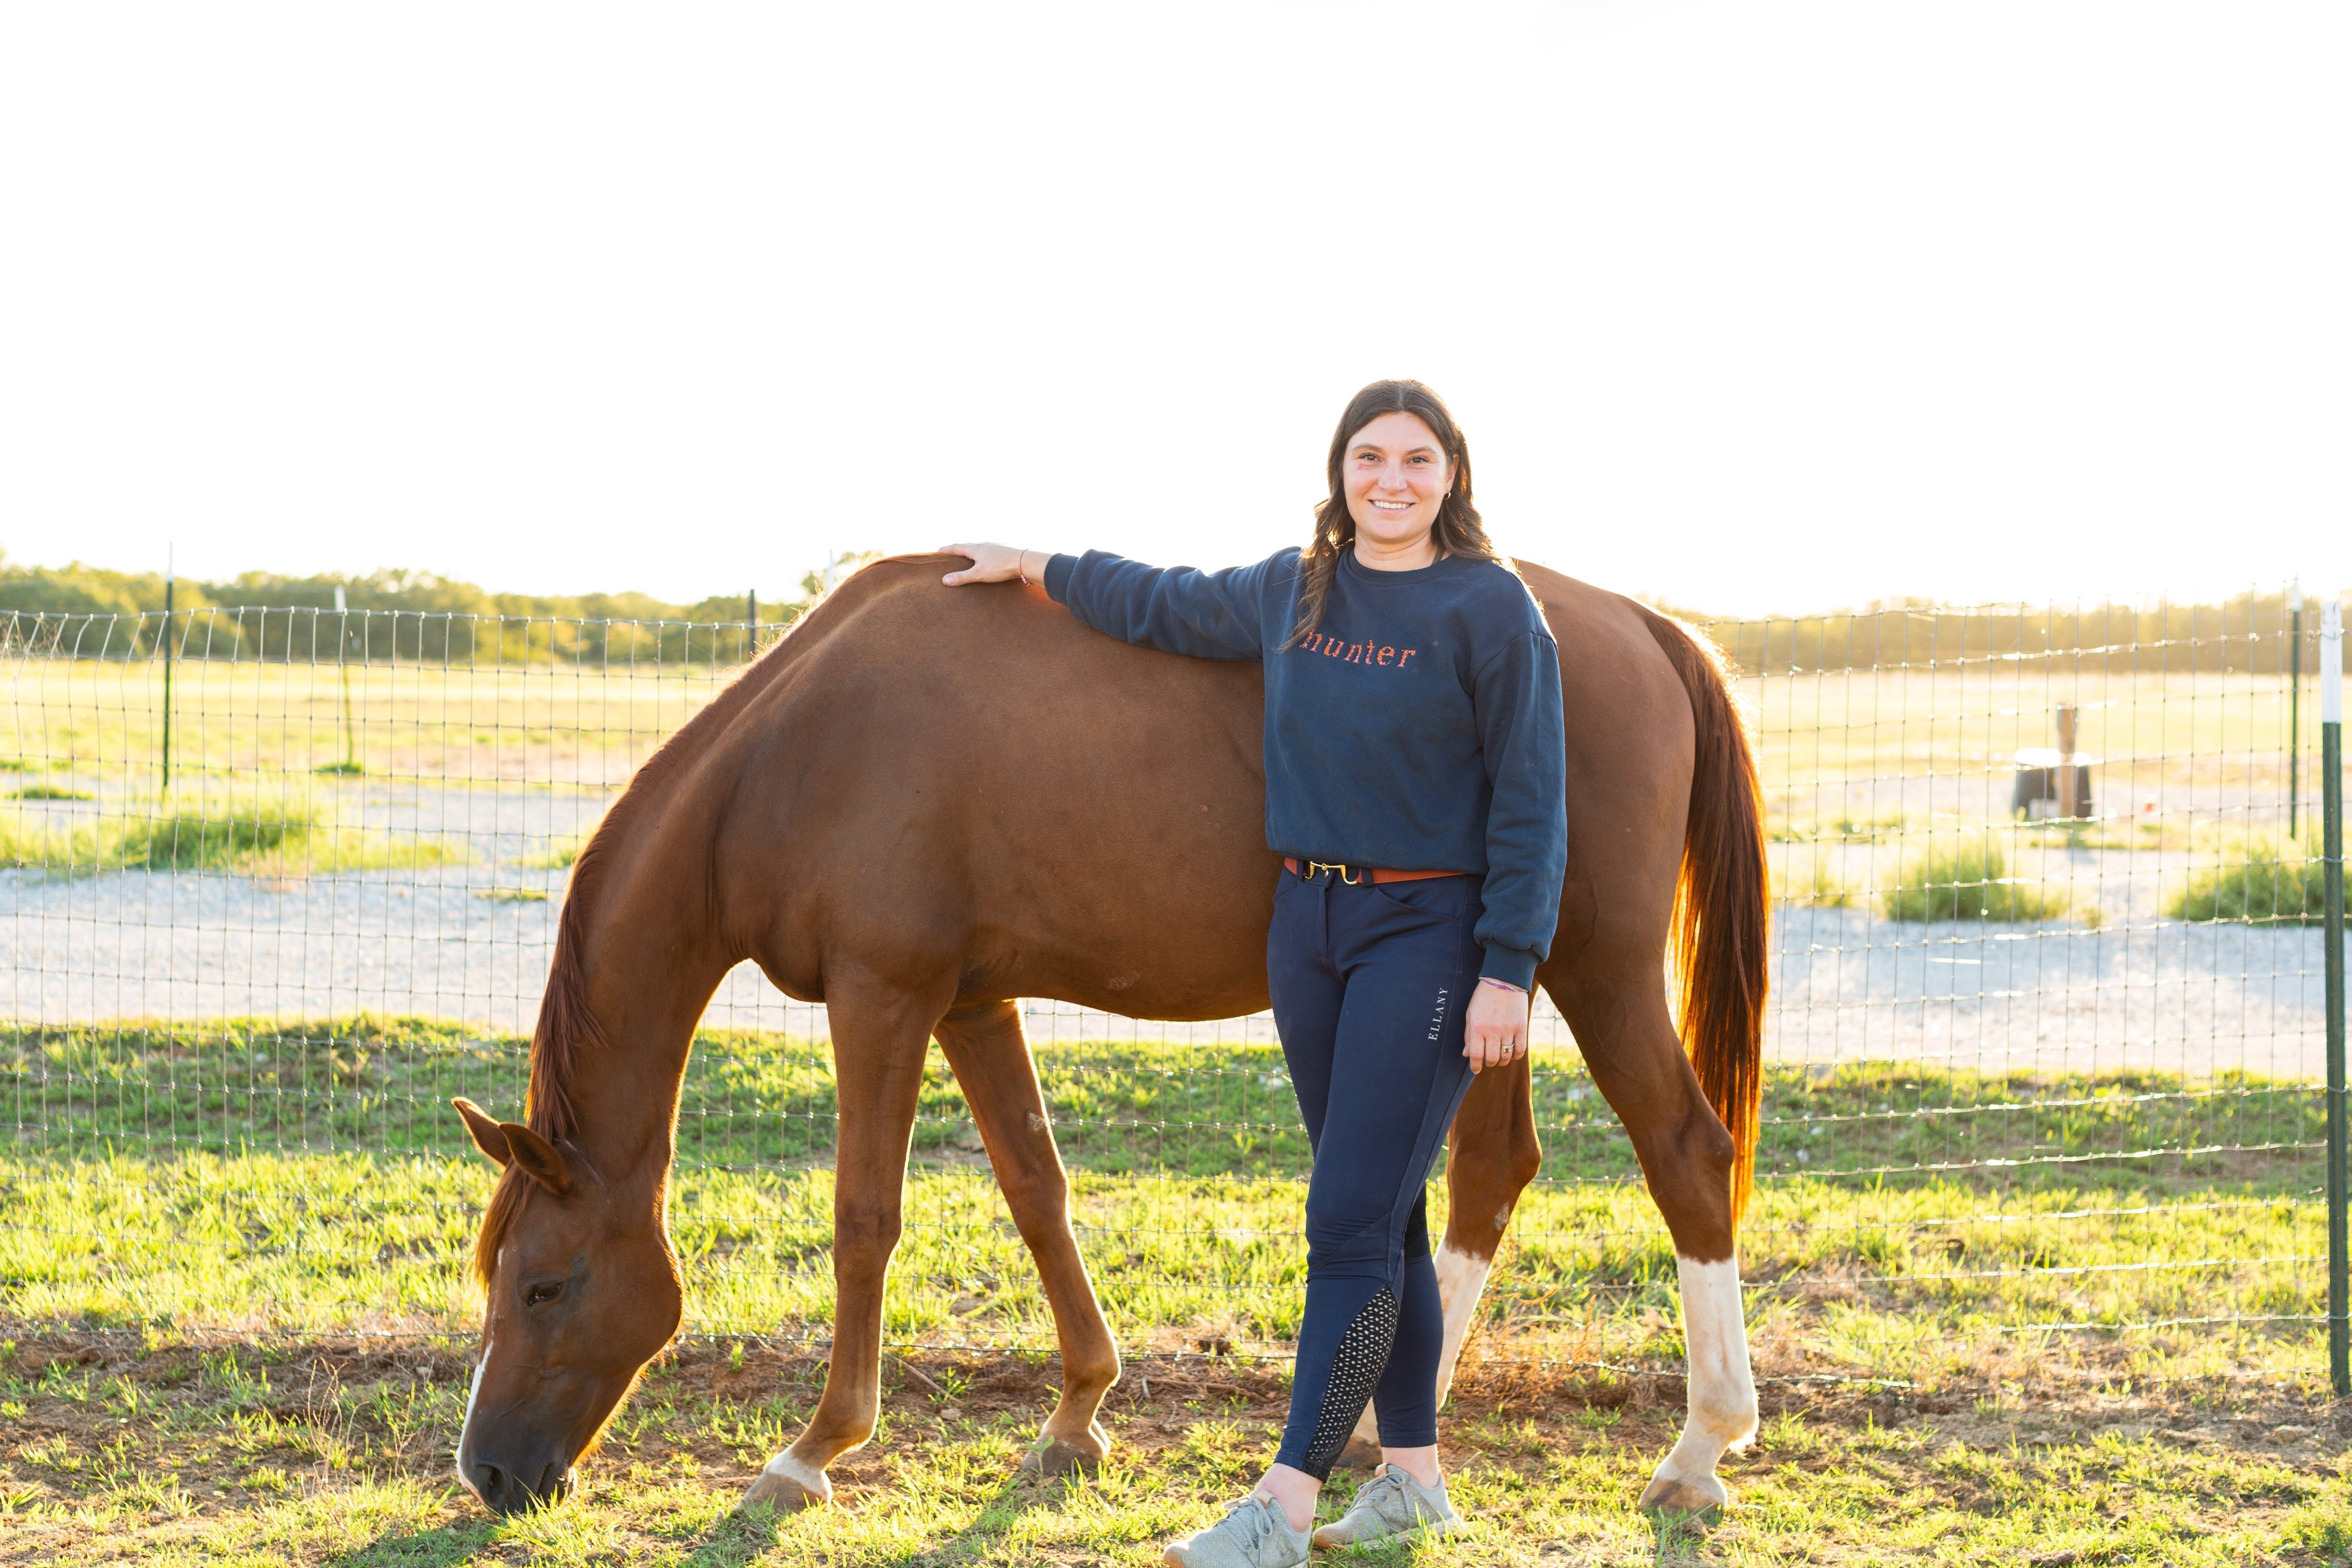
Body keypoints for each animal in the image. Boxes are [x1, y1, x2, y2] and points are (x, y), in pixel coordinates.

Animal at [444, 552, 1769, 1523]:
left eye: (545, 1283)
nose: (489, 1472)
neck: (793, 754)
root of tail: (1647, 626)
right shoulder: (969, 1002)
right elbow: (1037, 1190)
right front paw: (1077, 1413)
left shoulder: (884, 996)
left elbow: (865, 1219)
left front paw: (815, 1447)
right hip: (1498, 992)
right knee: (1490, 1174)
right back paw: (1391, 1431)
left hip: (1595, 970)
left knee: (1687, 1155)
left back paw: (1698, 1450)